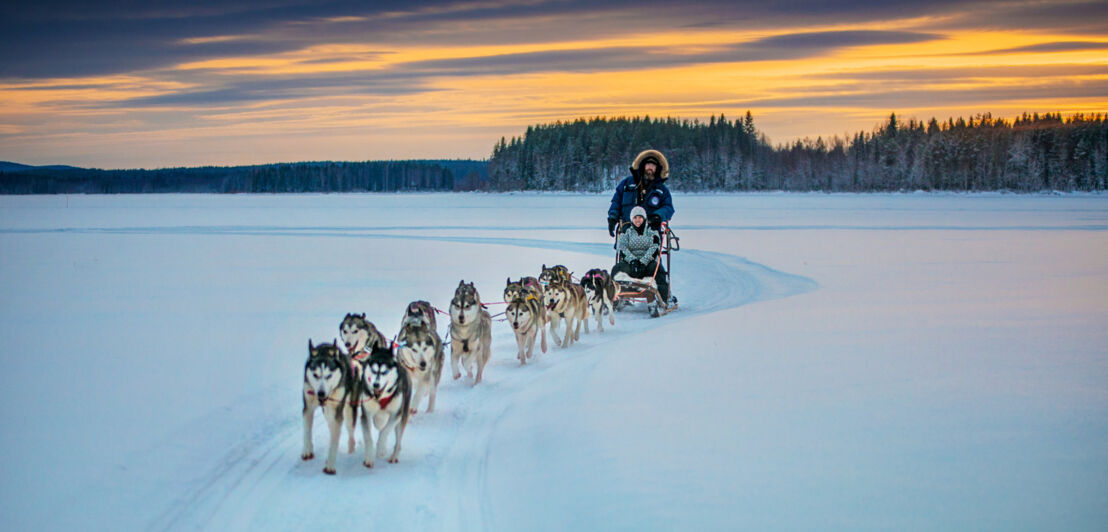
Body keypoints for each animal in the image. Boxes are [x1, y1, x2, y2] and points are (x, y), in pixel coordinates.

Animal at [303, 339, 350, 476]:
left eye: (329, 375)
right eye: (315, 375)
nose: (321, 393)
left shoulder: (337, 413)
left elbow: (334, 439)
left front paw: (330, 464)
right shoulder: (308, 407)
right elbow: (307, 430)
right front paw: (307, 450)